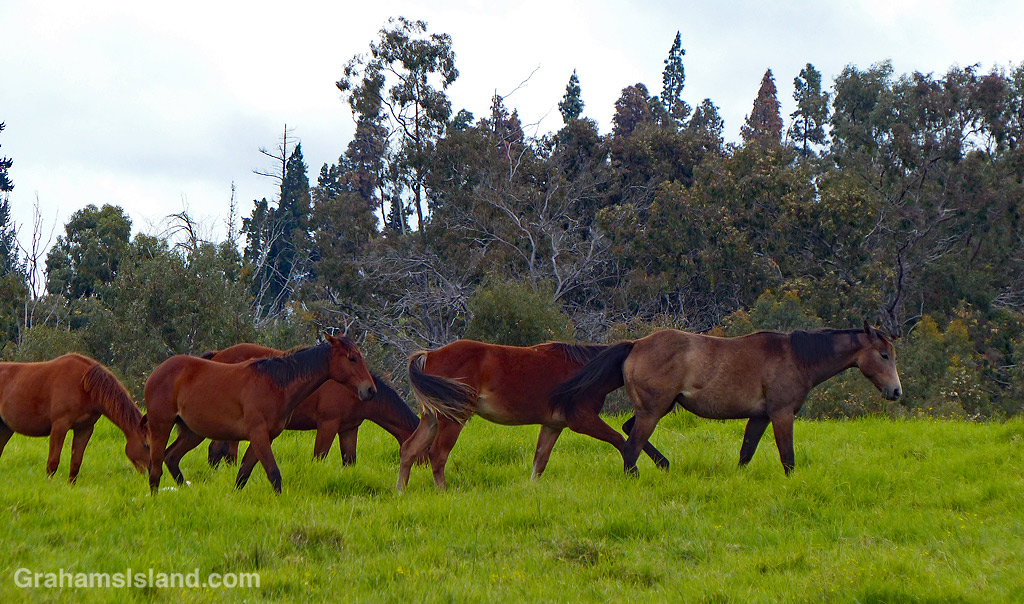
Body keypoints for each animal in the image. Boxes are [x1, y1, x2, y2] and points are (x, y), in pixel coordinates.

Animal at [0, 354, 149, 482]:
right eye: (146, 445)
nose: (150, 474)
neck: (83, 385)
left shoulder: (85, 429)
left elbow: (76, 463)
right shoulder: (60, 426)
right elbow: (52, 462)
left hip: (6, 428)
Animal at [142, 335, 376, 494]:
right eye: (352, 359)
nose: (370, 390)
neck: (275, 384)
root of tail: (158, 371)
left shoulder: (265, 437)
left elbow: (243, 474)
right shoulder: (258, 435)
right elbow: (273, 473)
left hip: (193, 433)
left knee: (171, 457)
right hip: (161, 426)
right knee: (155, 469)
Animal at [199, 343, 419, 467]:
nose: (423, 469)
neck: (351, 387)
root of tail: (217, 355)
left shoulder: (349, 429)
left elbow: (349, 462)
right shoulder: (328, 424)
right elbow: (319, 457)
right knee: (219, 450)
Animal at [396, 339, 670, 492]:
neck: (585, 371)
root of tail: (430, 355)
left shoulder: (552, 426)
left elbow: (540, 461)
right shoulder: (582, 420)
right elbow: (621, 441)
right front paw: (635, 470)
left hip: (431, 418)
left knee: (409, 450)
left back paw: (401, 492)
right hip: (452, 420)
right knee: (437, 455)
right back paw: (443, 491)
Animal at [552, 322, 902, 475]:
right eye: (884, 355)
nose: (896, 391)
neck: (796, 358)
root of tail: (636, 344)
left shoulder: (760, 417)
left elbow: (746, 453)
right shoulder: (782, 413)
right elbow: (787, 457)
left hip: (658, 407)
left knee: (628, 433)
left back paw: (664, 464)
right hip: (654, 410)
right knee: (632, 443)